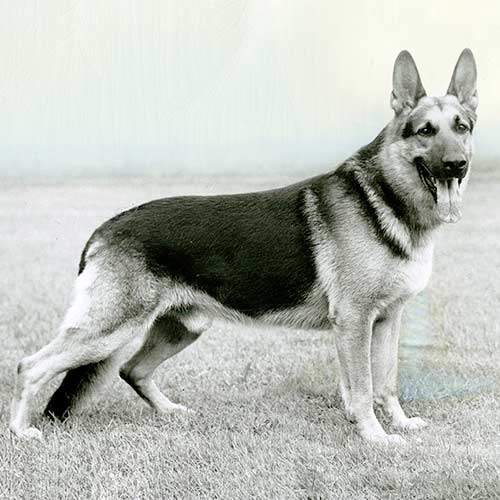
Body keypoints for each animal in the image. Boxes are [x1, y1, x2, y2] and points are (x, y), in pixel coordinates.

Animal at [9, 48, 476, 444]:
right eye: (425, 131)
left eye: (462, 128)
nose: (457, 165)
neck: (385, 198)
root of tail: (105, 227)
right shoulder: (355, 322)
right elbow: (362, 388)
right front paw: (376, 437)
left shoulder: (386, 321)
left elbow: (386, 382)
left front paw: (397, 423)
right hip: (108, 330)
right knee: (31, 366)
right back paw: (21, 431)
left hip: (182, 327)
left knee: (132, 369)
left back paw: (170, 411)